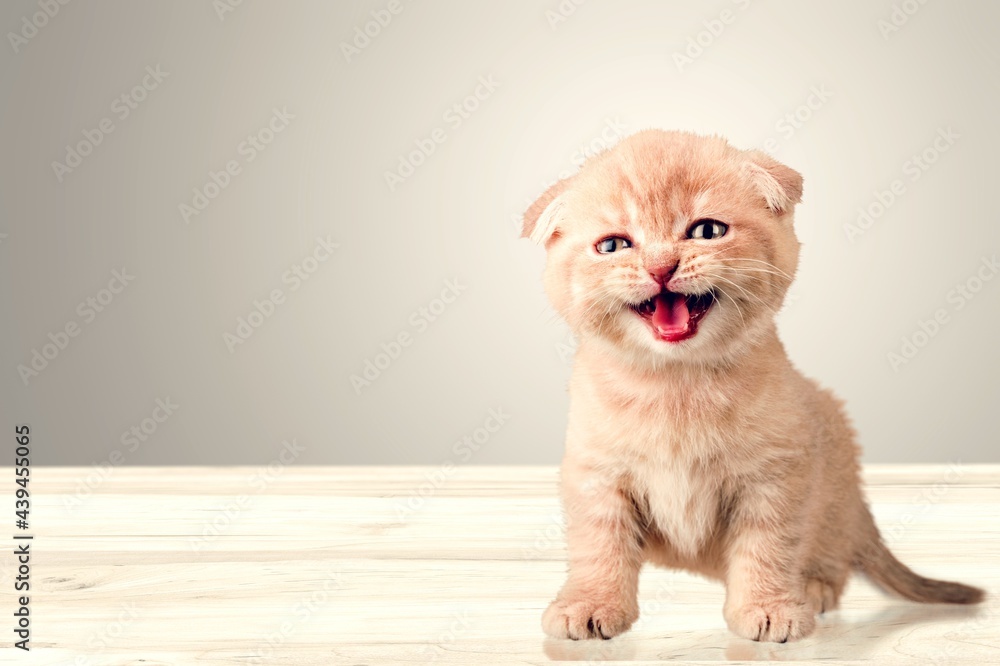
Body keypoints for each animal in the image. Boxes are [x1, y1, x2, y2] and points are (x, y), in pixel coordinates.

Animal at [524, 127, 984, 640]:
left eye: (706, 231)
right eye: (614, 245)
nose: (661, 267)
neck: (675, 384)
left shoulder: (775, 475)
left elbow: (768, 546)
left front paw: (769, 606)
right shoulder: (596, 474)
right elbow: (598, 544)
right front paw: (589, 603)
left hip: (835, 465)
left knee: (834, 549)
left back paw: (815, 586)